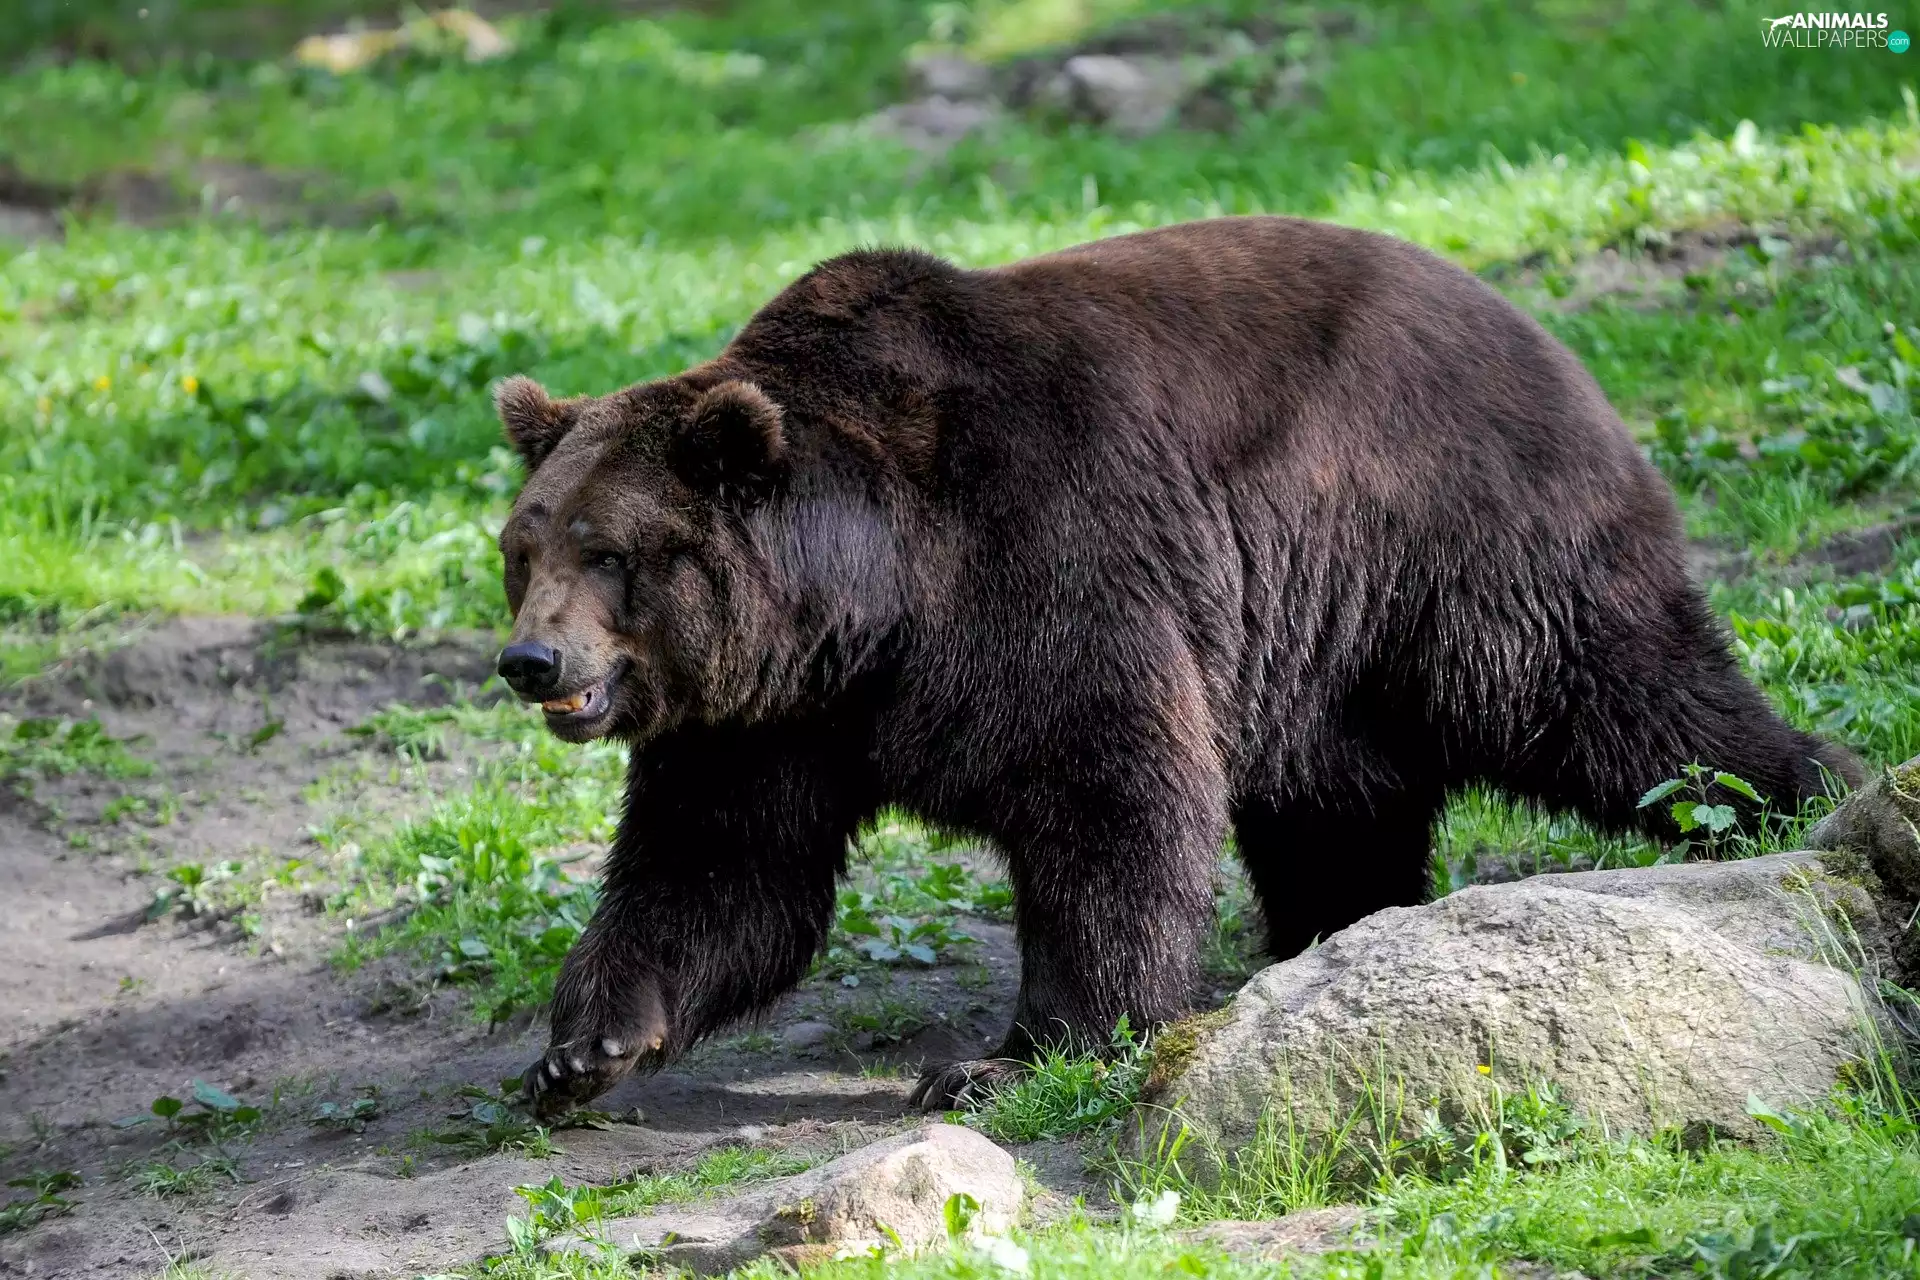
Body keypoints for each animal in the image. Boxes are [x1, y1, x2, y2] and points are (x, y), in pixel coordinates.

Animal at [492, 215, 1857, 1117]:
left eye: (611, 550)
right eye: (522, 544)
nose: (529, 658)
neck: (867, 603)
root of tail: (1549, 337)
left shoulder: (1043, 562)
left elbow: (1109, 794)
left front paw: (1005, 1055)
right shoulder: (768, 716)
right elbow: (723, 868)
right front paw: (582, 1045)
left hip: (1458, 549)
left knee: (1625, 705)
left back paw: (1801, 797)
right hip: (1320, 645)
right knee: (1336, 803)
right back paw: (1327, 931)